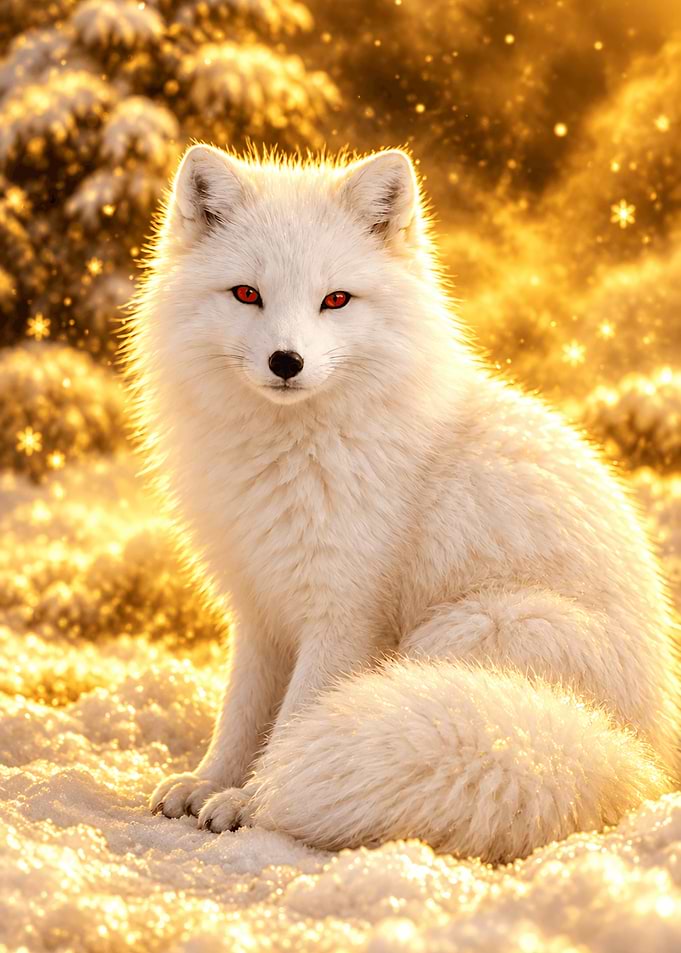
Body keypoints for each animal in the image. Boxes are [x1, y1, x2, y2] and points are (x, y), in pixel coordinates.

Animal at [125, 143, 679, 863]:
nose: (285, 361)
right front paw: (210, 780)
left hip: (476, 625)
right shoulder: (259, 607)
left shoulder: (344, 613)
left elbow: (295, 718)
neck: (289, 454)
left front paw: (253, 798)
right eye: (247, 293)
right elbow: (240, 714)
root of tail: (638, 764)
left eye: (335, 299)